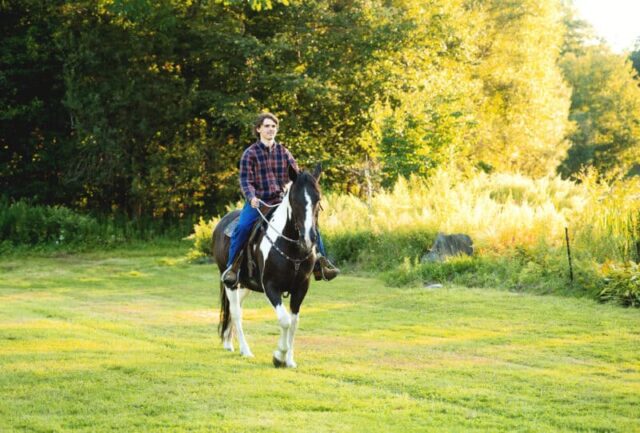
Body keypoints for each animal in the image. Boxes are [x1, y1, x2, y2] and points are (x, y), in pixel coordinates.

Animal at [212, 164, 323, 368]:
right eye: (294, 200)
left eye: (318, 199)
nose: (309, 238)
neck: (291, 247)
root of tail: (221, 223)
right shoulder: (271, 287)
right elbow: (285, 320)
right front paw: (279, 356)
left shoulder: (301, 288)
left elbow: (294, 322)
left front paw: (290, 360)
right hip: (231, 283)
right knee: (236, 312)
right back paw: (245, 350)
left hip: (245, 285)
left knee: (235, 309)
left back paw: (229, 343)